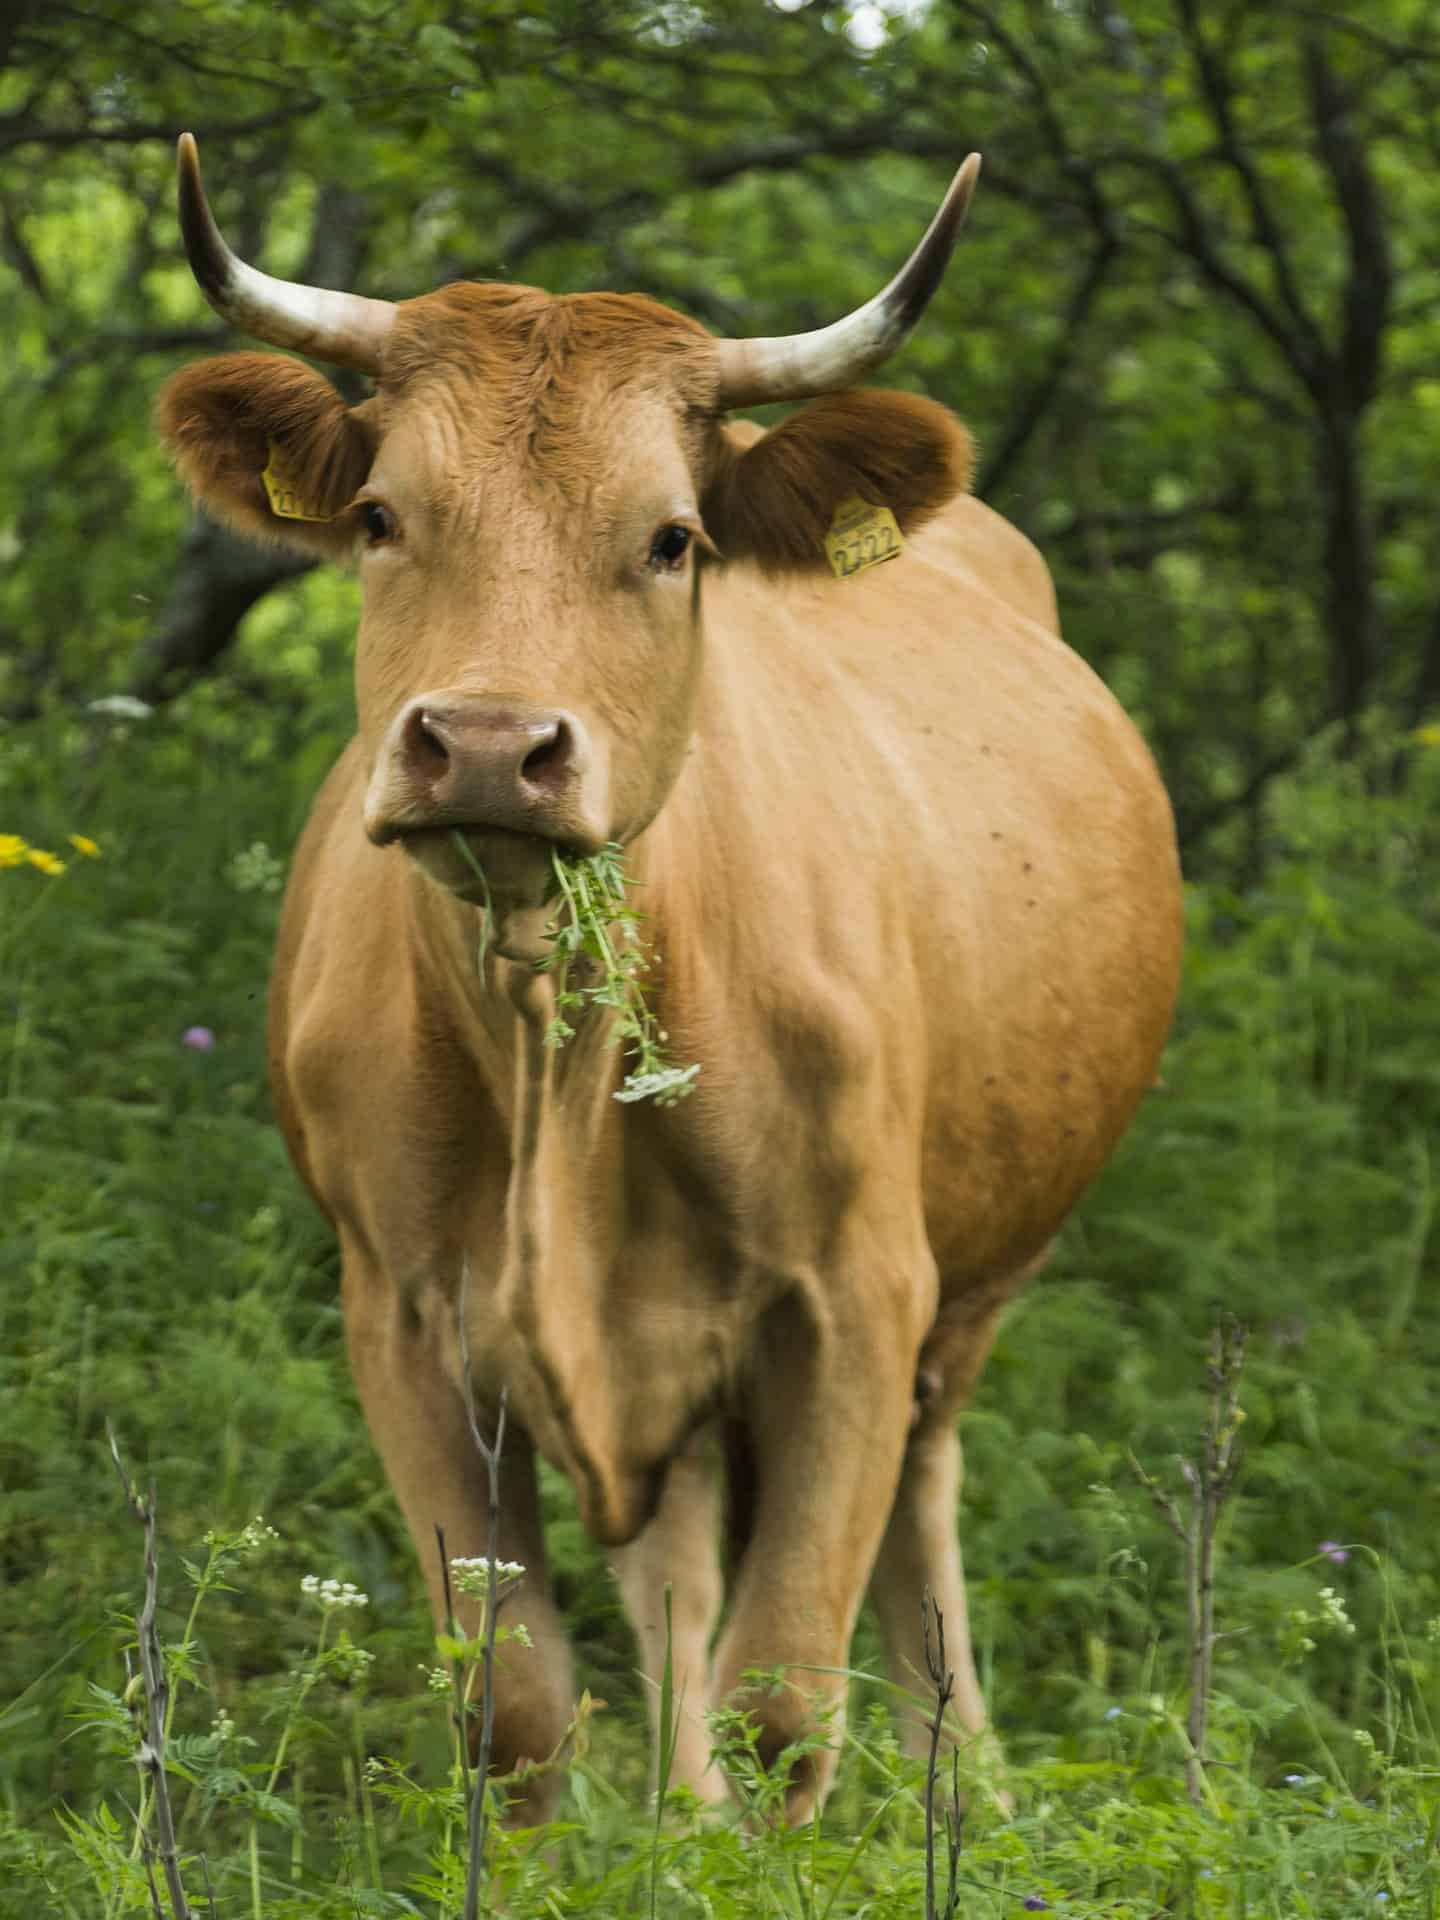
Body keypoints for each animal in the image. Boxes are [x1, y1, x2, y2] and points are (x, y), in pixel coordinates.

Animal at [157, 139, 1182, 1827]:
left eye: (672, 539)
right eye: (378, 513)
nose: (489, 745)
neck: (551, 1058)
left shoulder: (854, 1299)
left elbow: (787, 1704)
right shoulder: (401, 1311)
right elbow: (514, 1702)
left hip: (976, 1280)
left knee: (922, 1513)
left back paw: (964, 1791)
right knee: (681, 1564)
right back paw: (681, 1807)